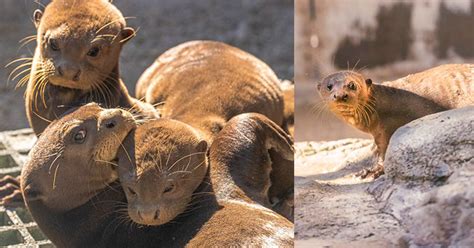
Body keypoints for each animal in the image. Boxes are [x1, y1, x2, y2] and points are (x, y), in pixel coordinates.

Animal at [318, 63, 474, 177]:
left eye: (352, 85)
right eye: (329, 86)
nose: (340, 95)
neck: (378, 105)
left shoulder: (387, 127)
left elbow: (384, 150)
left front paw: (375, 170)